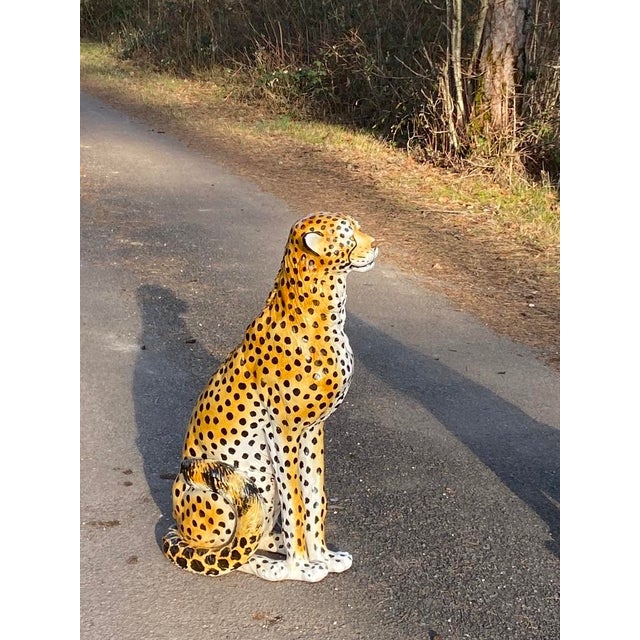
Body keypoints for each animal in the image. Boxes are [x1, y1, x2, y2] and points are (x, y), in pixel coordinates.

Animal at [162, 212, 378, 582]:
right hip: (225, 485)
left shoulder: (313, 430)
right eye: (348, 234)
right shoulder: (283, 431)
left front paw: (323, 555)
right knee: (224, 551)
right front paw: (301, 566)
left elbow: (315, 497)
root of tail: (175, 526)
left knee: (252, 535)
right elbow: (296, 504)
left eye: (358, 227)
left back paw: (275, 546)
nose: (376, 245)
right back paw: (271, 565)